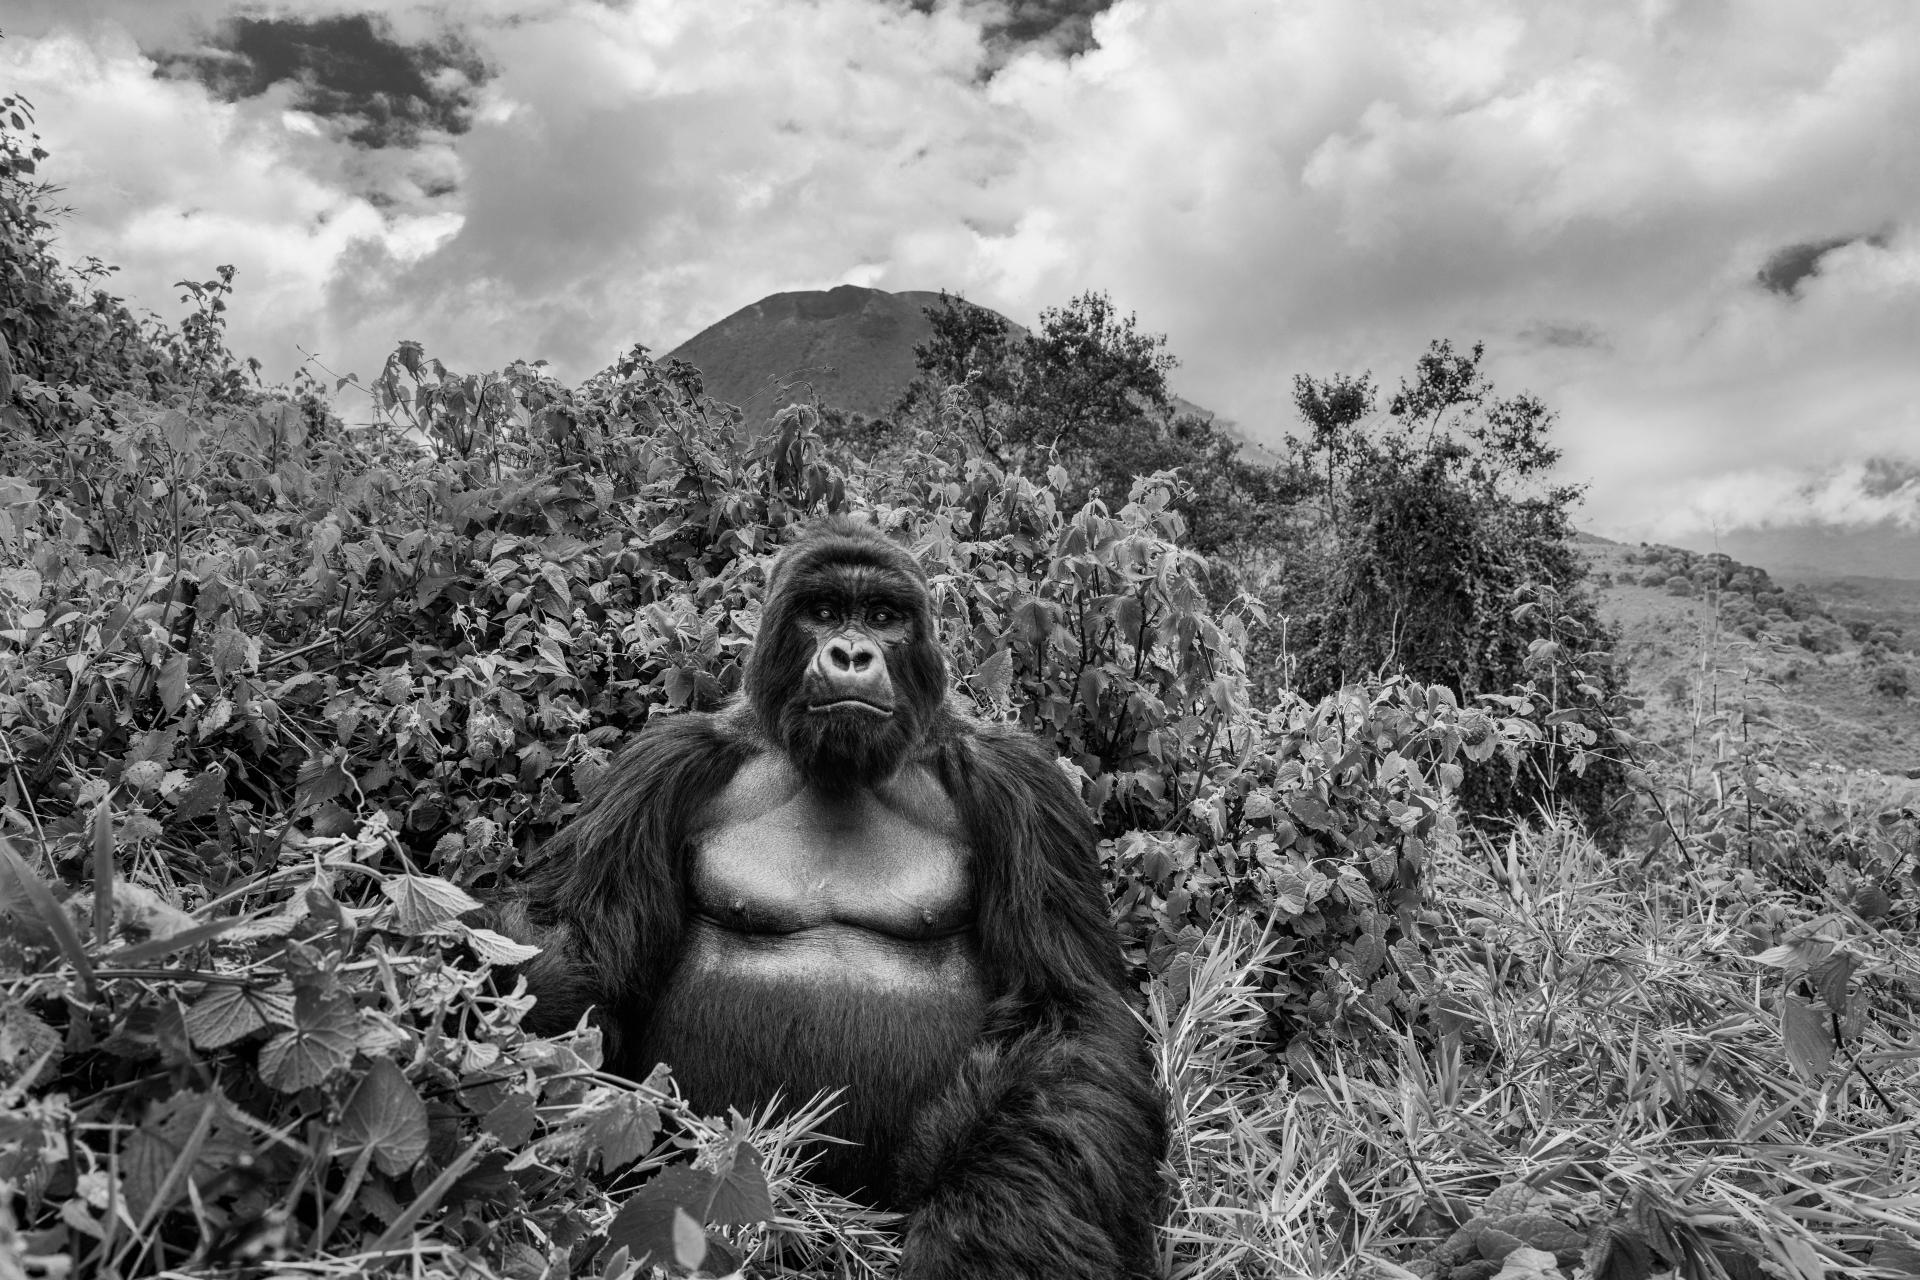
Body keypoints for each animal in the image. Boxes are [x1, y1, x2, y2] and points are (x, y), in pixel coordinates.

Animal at [495, 514, 1159, 1274]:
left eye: (883, 617)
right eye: (822, 612)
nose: (849, 653)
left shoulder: (1021, 782)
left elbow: (1065, 1013)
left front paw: (986, 1239)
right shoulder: (661, 764)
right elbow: (577, 950)